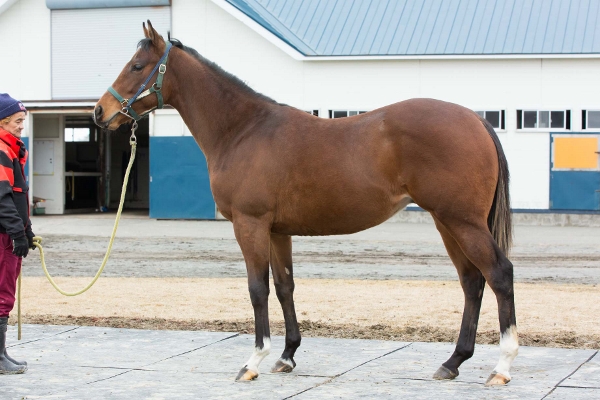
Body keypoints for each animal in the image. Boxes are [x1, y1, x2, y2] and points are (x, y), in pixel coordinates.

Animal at [94, 21, 518, 386]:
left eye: (137, 66)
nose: (100, 112)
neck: (243, 130)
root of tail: (476, 120)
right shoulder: (277, 231)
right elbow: (285, 286)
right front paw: (287, 355)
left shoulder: (250, 224)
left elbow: (257, 289)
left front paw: (254, 360)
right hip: (448, 223)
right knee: (472, 281)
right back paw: (453, 362)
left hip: (462, 221)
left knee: (499, 274)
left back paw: (501, 366)